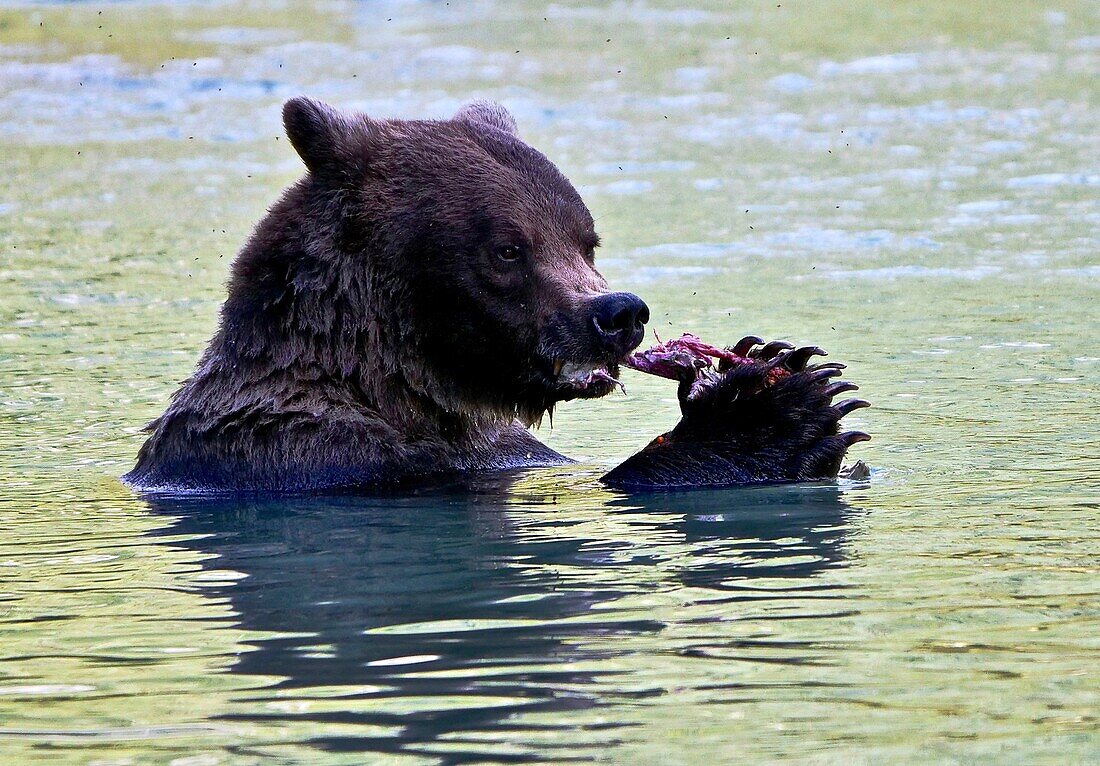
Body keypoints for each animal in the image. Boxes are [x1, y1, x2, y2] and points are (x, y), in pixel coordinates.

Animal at [126, 98, 866, 493]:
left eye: (585, 239)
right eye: (509, 249)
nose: (617, 313)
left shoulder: (506, 452)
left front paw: (773, 364)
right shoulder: (316, 459)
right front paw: (776, 409)